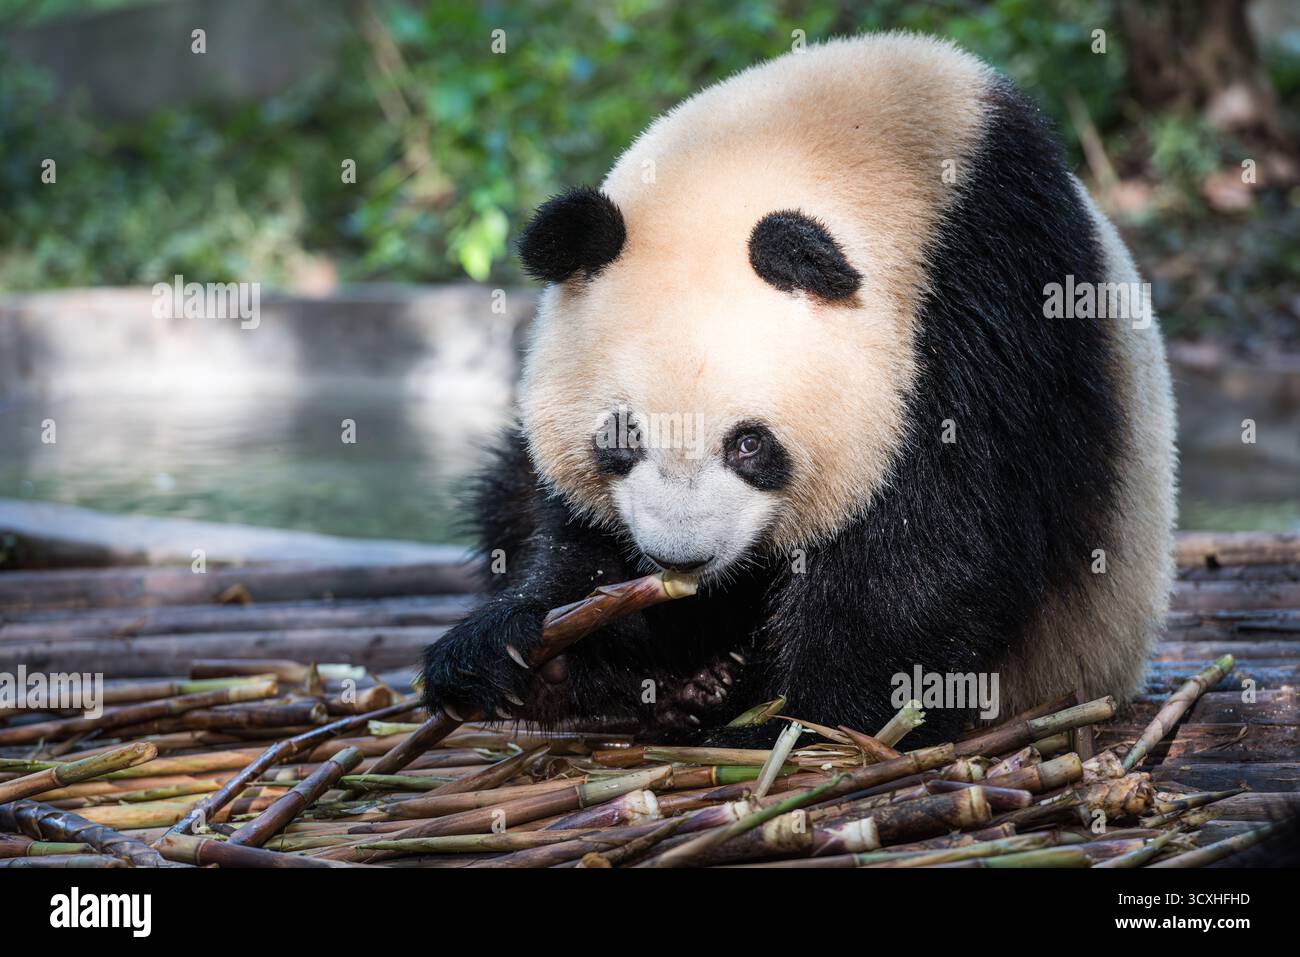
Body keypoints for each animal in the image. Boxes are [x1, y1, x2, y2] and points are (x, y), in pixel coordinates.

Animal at [420, 32, 1177, 746]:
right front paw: (517, 648)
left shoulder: (992, 294)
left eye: (750, 444)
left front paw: (791, 720)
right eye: (621, 437)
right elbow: (578, 539)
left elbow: (941, 541)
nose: (681, 559)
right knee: (504, 488)